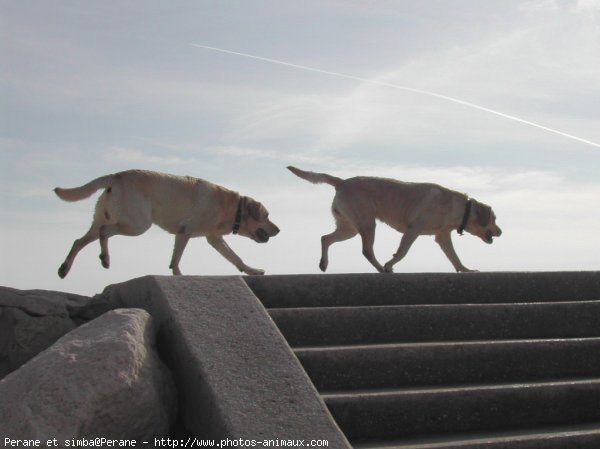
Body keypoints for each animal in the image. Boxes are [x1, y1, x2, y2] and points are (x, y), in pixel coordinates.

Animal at [54, 170, 278, 278]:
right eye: (267, 216)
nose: (279, 229)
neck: (233, 207)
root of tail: (116, 176)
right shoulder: (185, 231)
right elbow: (177, 258)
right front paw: (178, 274)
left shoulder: (214, 238)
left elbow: (235, 257)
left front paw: (252, 271)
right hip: (138, 224)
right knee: (104, 232)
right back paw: (105, 258)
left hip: (105, 219)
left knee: (78, 241)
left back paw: (64, 268)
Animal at [286, 165, 502, 272]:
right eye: (494, 218)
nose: (501, 231)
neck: (460, 208)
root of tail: (342, 182)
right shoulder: (413, 229)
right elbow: (402, 252)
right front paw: (390, 264)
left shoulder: (442, 237)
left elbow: (455, 257)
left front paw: (465, 270)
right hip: (367, 223)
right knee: (366, 250)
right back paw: (381, 268)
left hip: (349, 228)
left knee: (325, 238)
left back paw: (324, 264)